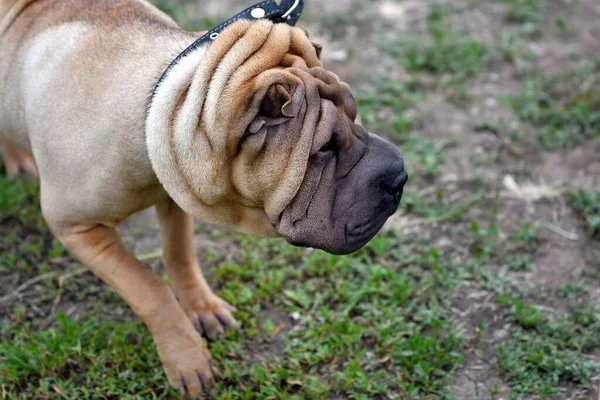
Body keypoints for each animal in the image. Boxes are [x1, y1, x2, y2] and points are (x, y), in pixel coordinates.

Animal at [0, 0, 408, 396]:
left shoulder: (173, 191)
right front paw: (187, 359)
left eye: (354, 114)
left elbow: (180, 254)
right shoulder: (76, 227)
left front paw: (203, 308)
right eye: (323, 149)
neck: (156, 105)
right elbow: (148, 287)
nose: (400, 176)